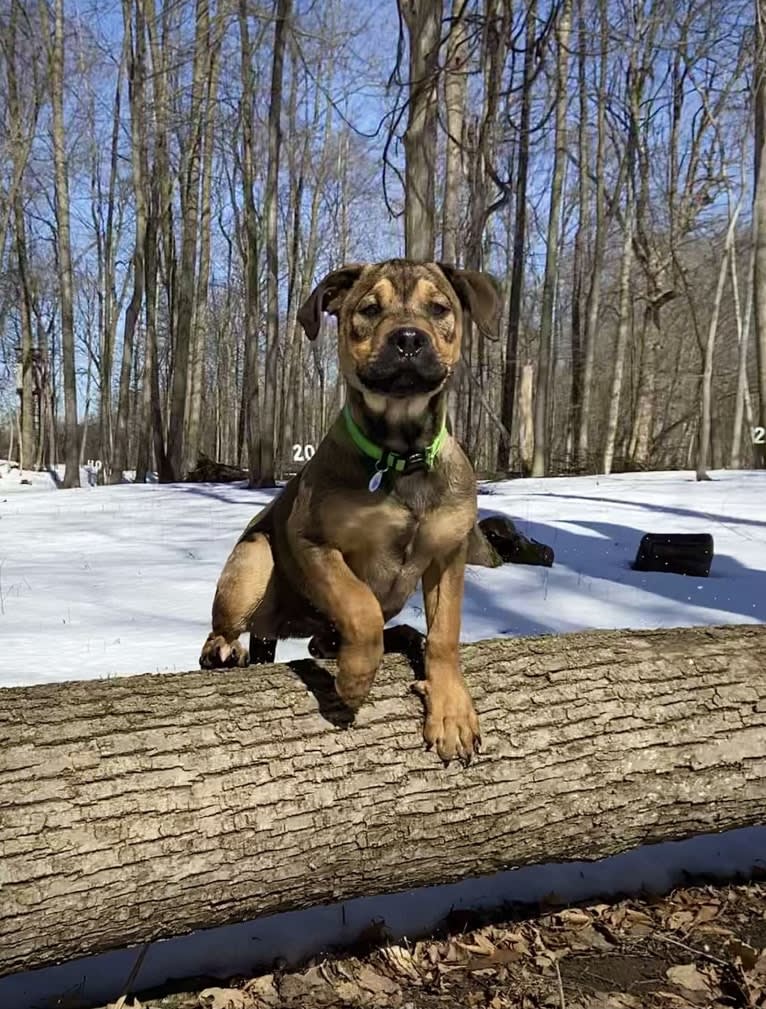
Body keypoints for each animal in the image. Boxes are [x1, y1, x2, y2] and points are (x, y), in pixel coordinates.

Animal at [200, 260, 506, 762]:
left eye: (439, 308)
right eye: (369, 309)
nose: (408, 338)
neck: (400, 456)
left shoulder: (449, 554)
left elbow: (445, 634)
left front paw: (452, 714)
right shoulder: (312, 541)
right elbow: (359, 606)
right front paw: (355, 679)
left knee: (326, 640)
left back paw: (403, 637)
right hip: (253, 559)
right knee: (230, 628)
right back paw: (224, 650)